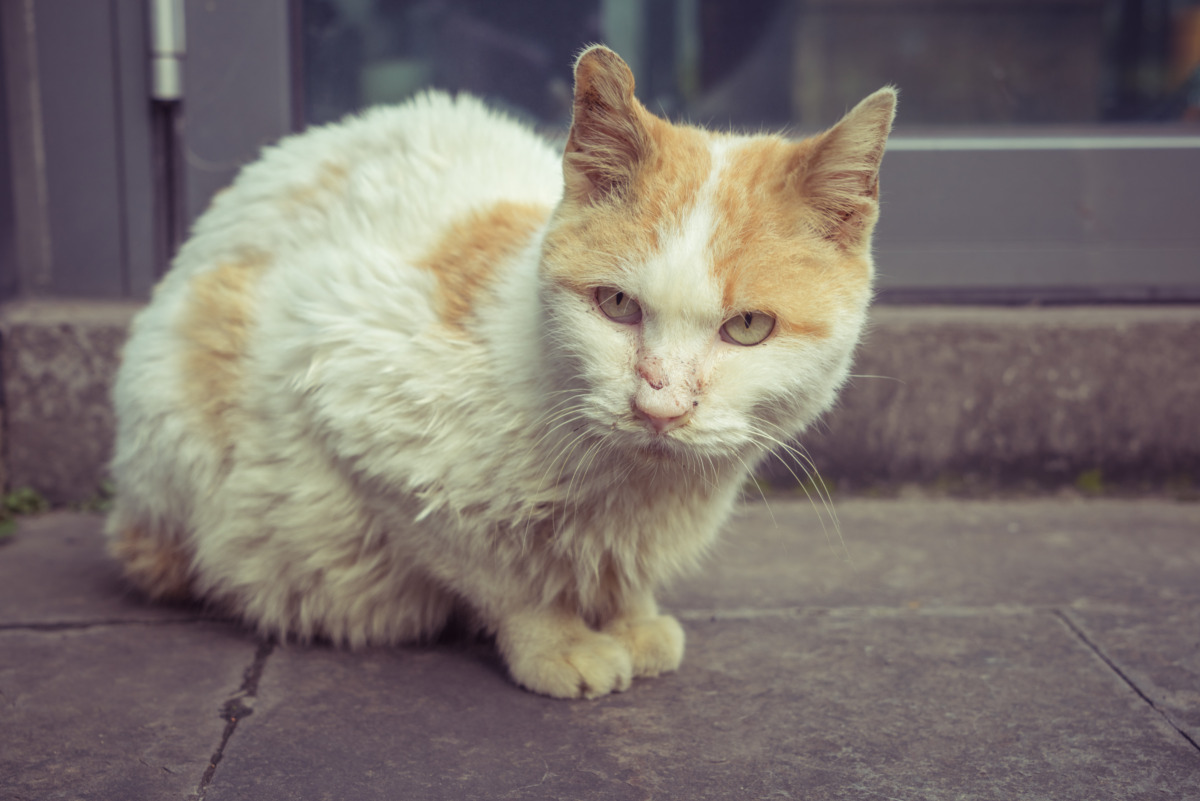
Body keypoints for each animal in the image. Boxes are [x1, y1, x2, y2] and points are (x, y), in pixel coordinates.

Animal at [105, 43, 892, 695]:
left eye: (748, 327)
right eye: (616, 305)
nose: (660, 406)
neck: (634, 489)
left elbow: (620, 573)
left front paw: (632, 619)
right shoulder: (339, 375)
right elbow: (500, 572)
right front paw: (558, 641)